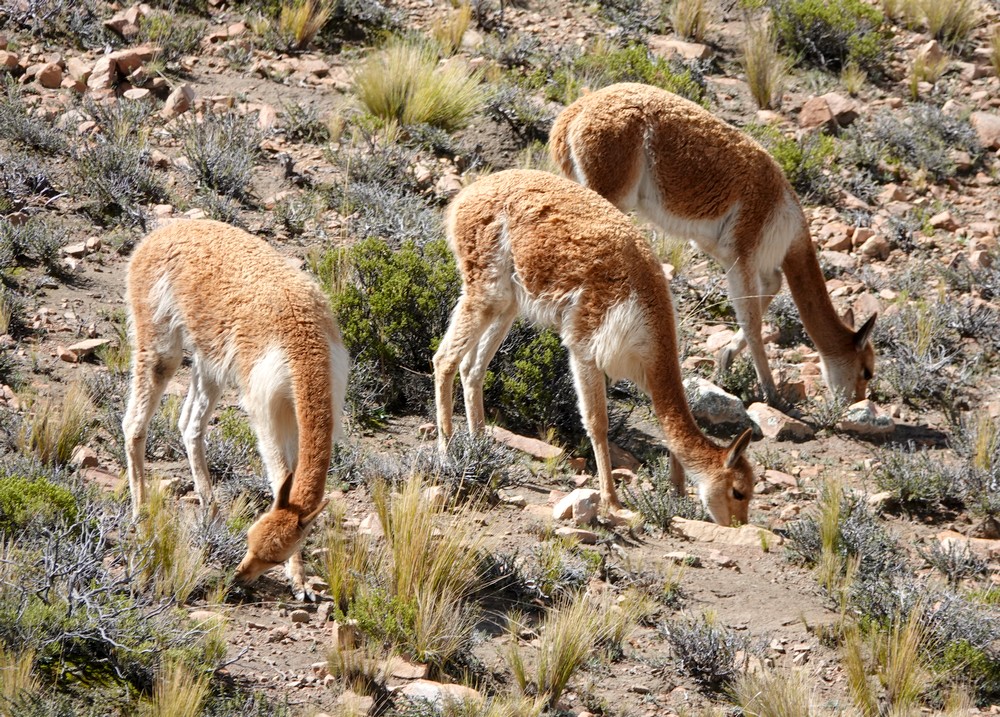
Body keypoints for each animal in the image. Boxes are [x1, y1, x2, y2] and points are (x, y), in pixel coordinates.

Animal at [122, 219, 349, 599]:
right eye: (250, 540)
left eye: (273, 556)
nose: (240, 577)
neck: (303, 344)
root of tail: (161, 231)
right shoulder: (263, 407)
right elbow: (280, 476)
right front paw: (299, 579)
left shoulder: (295, 409)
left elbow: (288, 477)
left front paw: (300, 581)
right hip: (158, 334)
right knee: (134, 423)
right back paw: (141, 517)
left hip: (209, 358)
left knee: (189, 424)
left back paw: (211, 511)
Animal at [433, 169, 755, 525]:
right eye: (737, 491)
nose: (739, 525)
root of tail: (467, 195)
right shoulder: (585, 346)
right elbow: (598, 424)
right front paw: (612, 503)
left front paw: (675, 495)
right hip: (486, 285)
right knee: (444, 359)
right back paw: (449, 453)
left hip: (509, 299)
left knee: (472, 369)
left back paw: (481, 449)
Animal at [550, 83, 877, 405]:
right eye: (867, 371)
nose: (855, 403)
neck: (790, 229)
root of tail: (573, 115)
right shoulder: (744, 246)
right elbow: (752, 319)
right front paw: (770, 392)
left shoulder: (733, 254)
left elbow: (770, 288)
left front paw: (727, 358)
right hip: (609, 187)